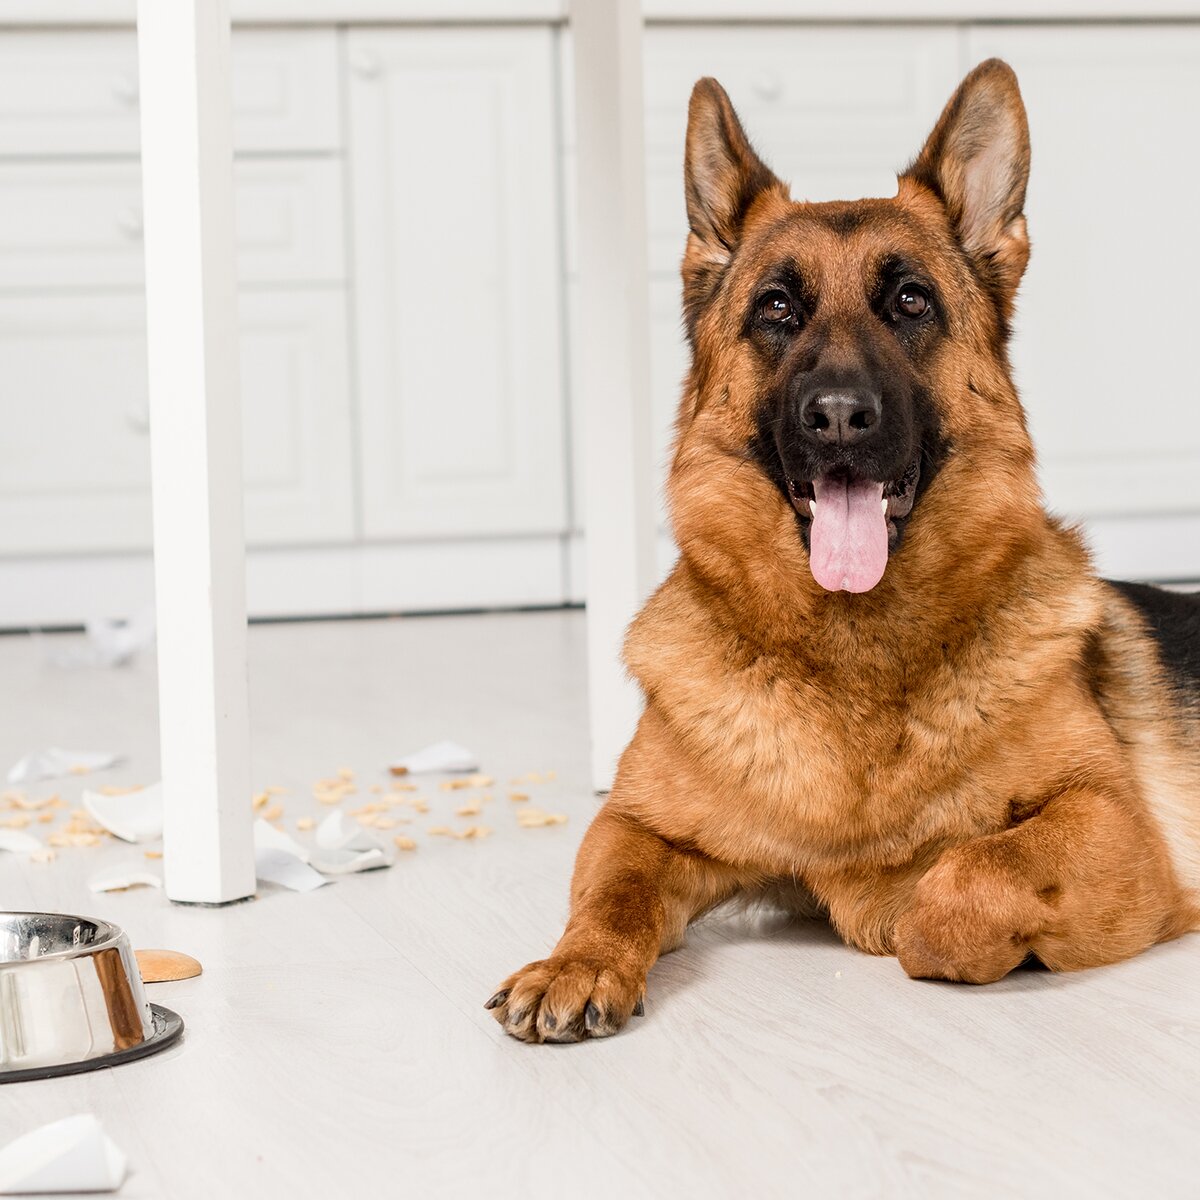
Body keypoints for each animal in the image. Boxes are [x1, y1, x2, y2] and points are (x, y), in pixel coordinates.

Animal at [484, 58, 1200, 1041]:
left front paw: (915, 906)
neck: (851, 654)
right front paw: (577, 962)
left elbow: (963, 879)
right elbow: (610, 894)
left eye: (911, 301)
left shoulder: (1114, 826)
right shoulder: (634, 825)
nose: (837, 417)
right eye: (777, 307)